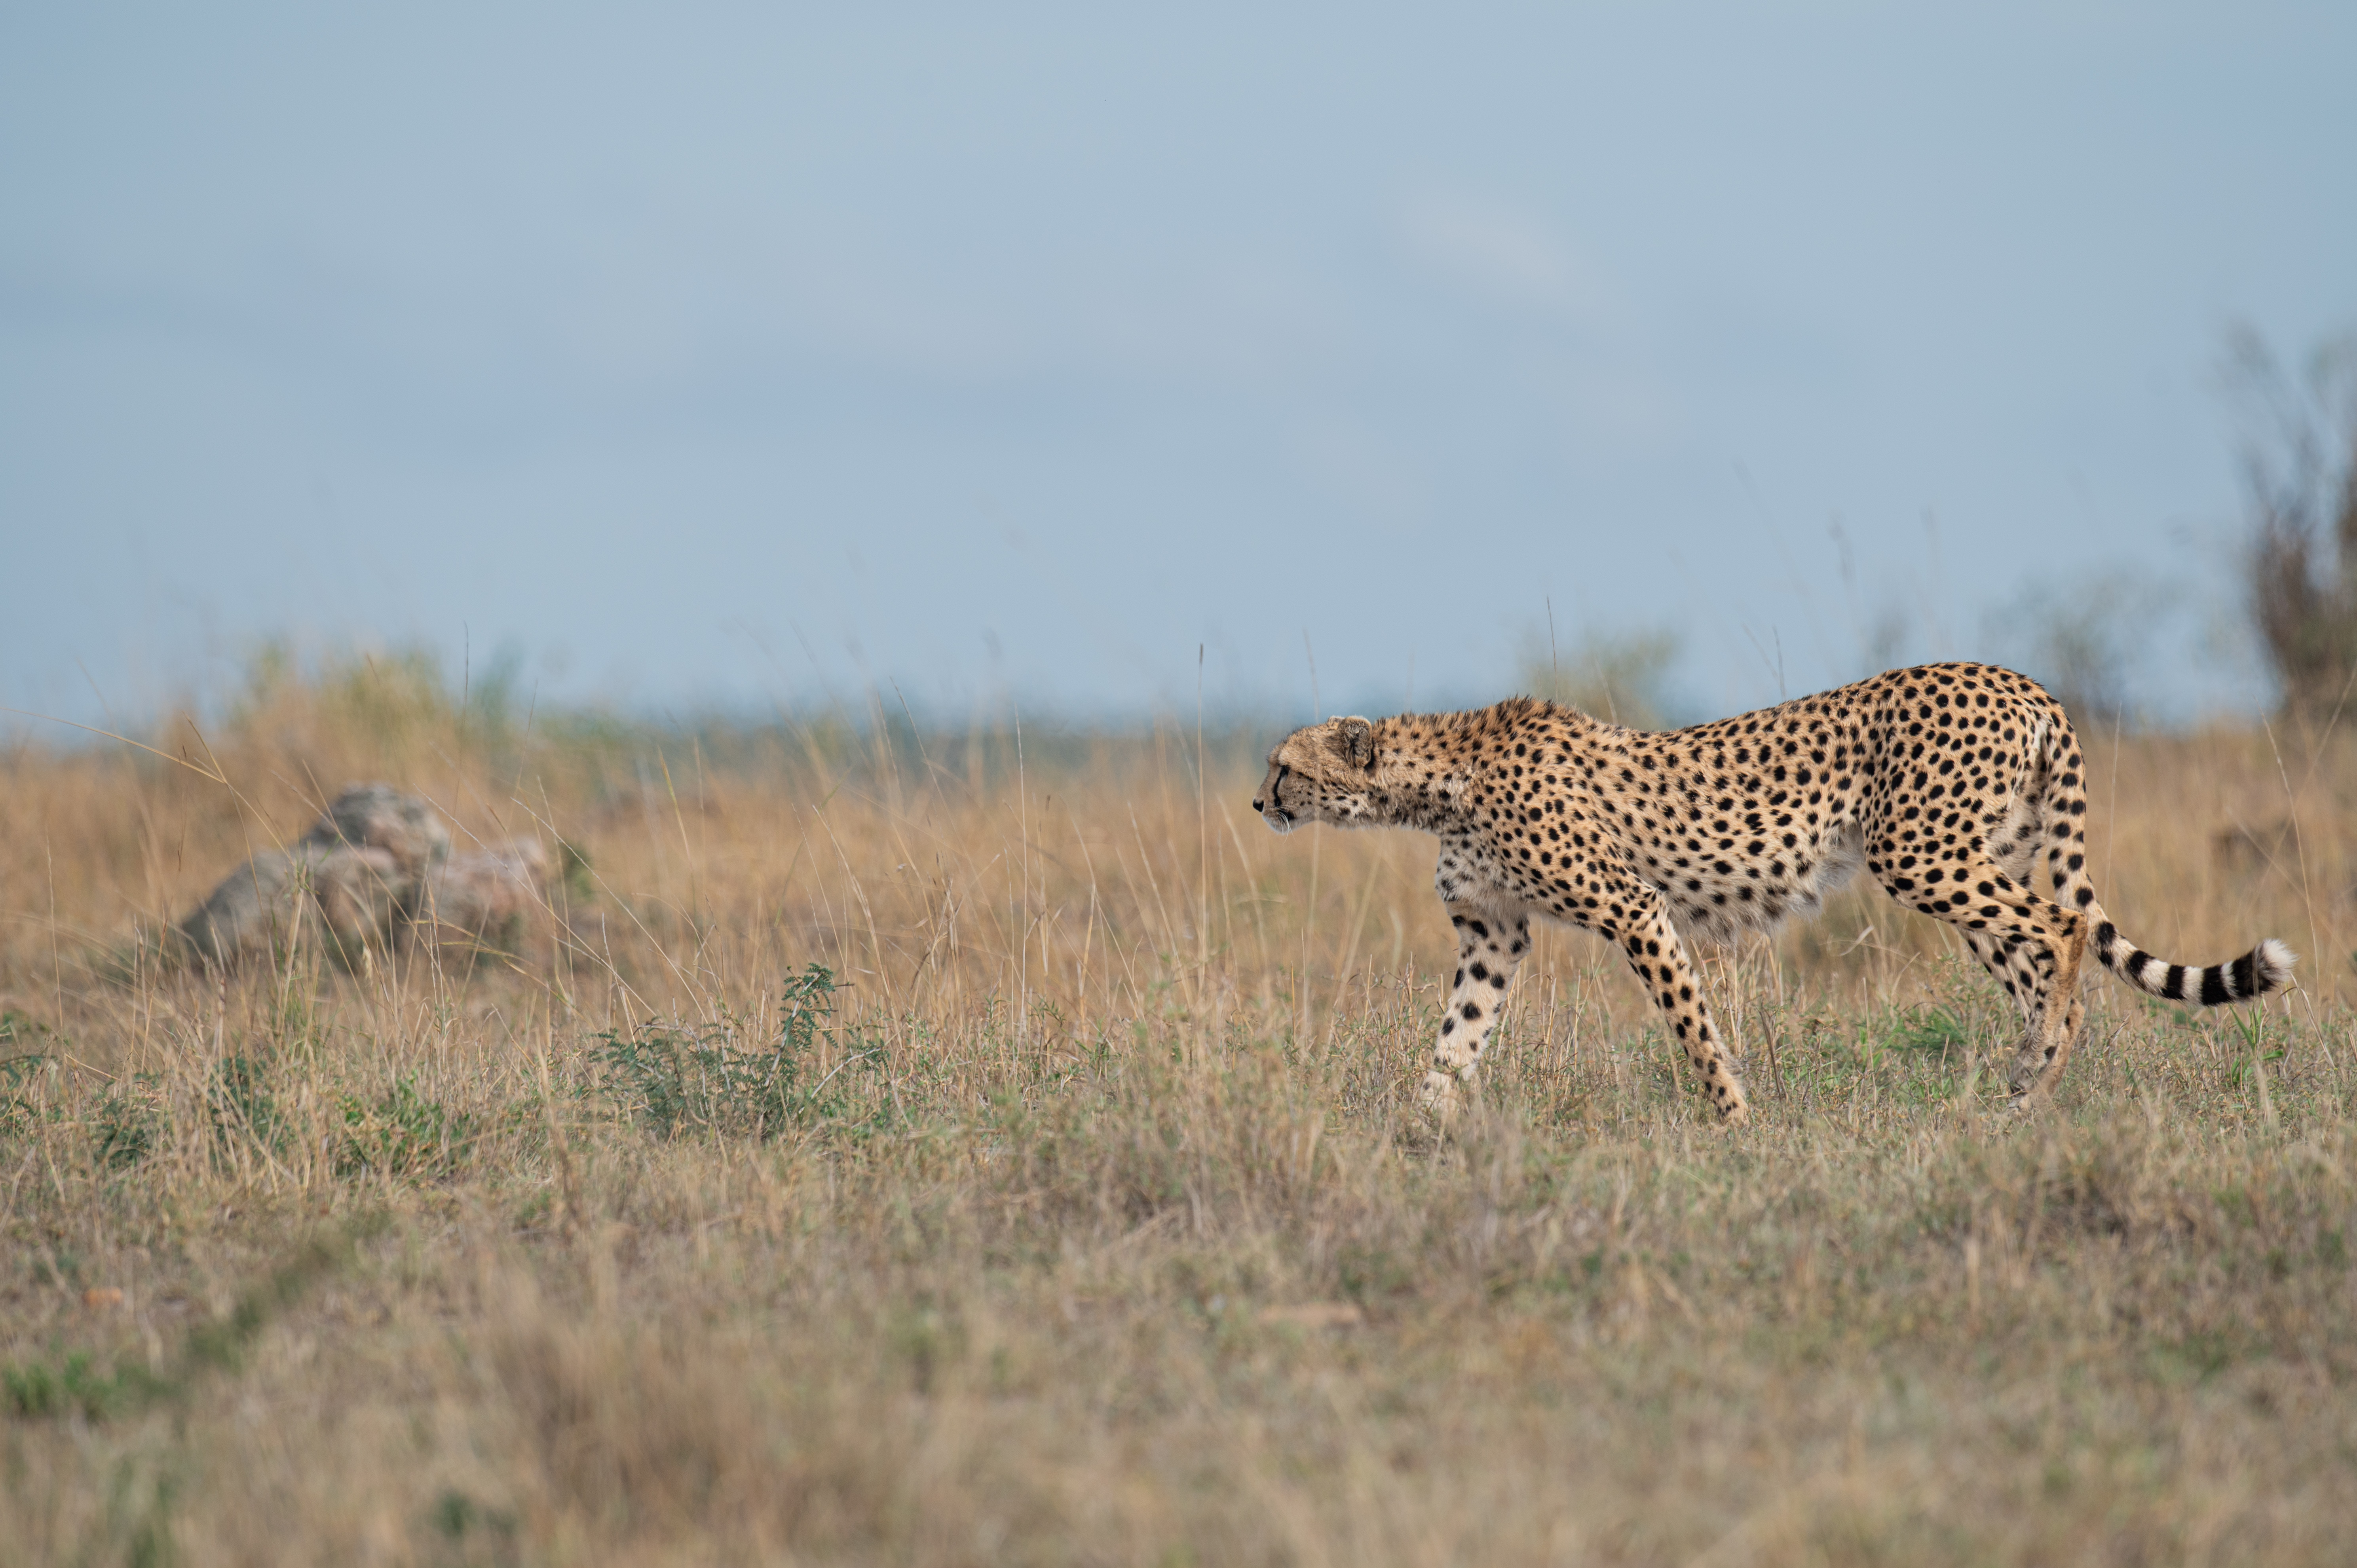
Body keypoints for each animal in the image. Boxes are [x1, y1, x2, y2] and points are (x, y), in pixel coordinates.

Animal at [1252, 662, 2295, 1123]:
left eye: (1282, 764)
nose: (1258, 801)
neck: (1439, 778)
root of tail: (2017, 678)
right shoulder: (1492, 935)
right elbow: (1454, 1039)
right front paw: (1419, 1128)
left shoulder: (1631, 908)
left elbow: (1691, 1025)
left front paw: (1733, 1119)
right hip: (1972, 855)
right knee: (2038, 957)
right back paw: (2025, 1087)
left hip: (1919, 853)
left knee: (2065, 926)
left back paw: (2034, 1067)